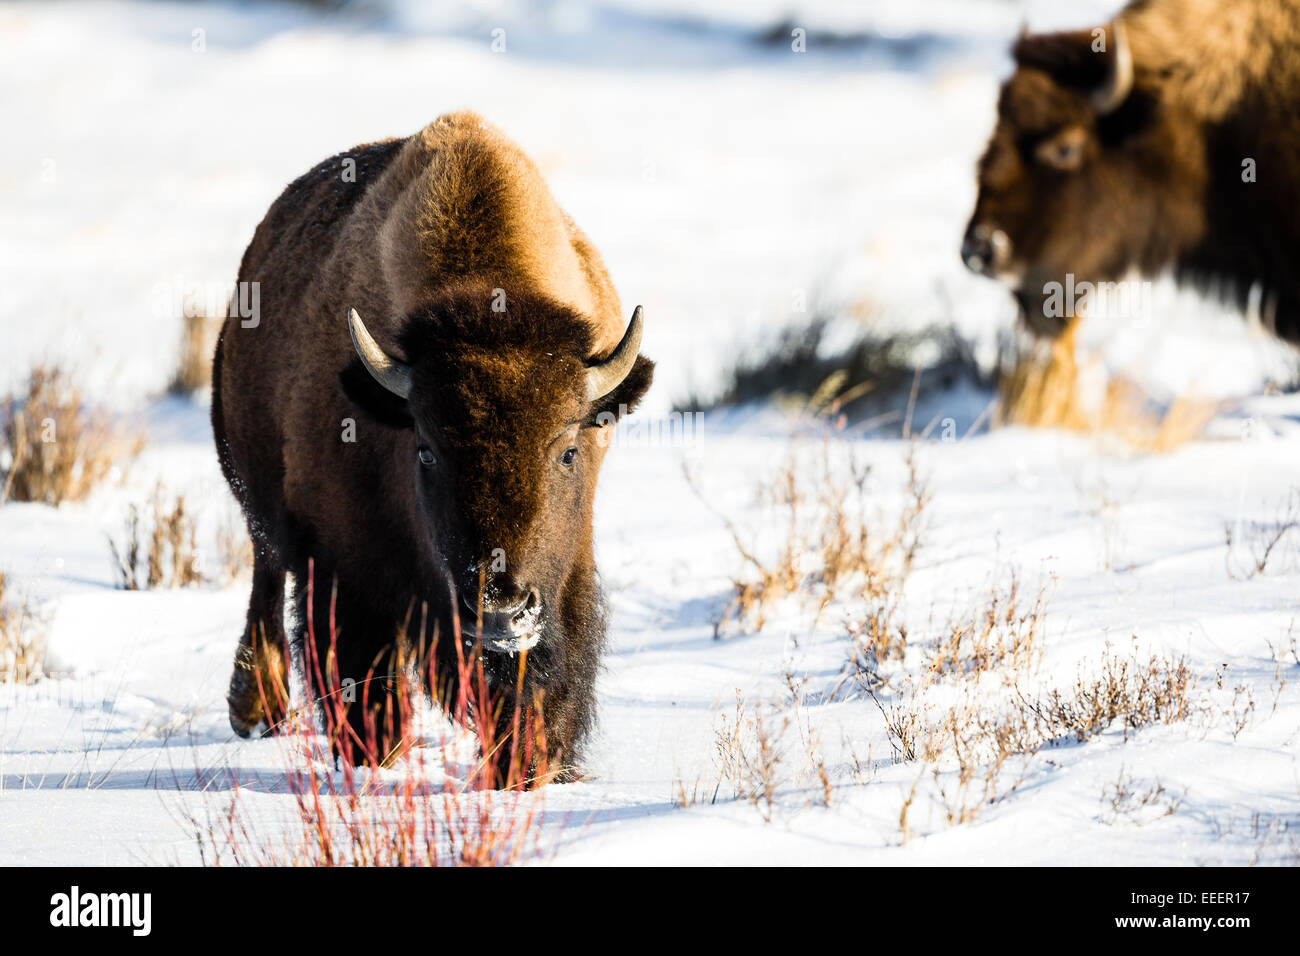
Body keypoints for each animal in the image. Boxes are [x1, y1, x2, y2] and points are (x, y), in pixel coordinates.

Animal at [211, 111, 653, 782]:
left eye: (568, 450)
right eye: (426, 450)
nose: (500, 612)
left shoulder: (565, 578)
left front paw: (531, 769)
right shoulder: (345, 570)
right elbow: (362, 681)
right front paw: (375, 761)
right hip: (254, 496)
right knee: (265, 576)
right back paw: (254, 710)